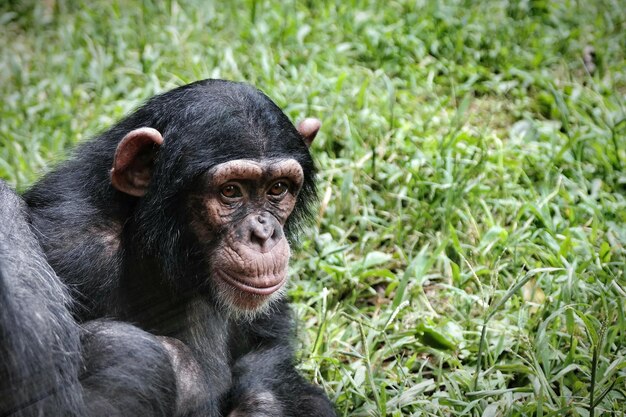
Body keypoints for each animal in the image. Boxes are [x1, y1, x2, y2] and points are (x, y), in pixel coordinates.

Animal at [0, 79, 334, 414]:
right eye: (230, 191)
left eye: (278, 188)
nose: (263, 233)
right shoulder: (73, 248)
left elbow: (267, 345)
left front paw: (261, 406)